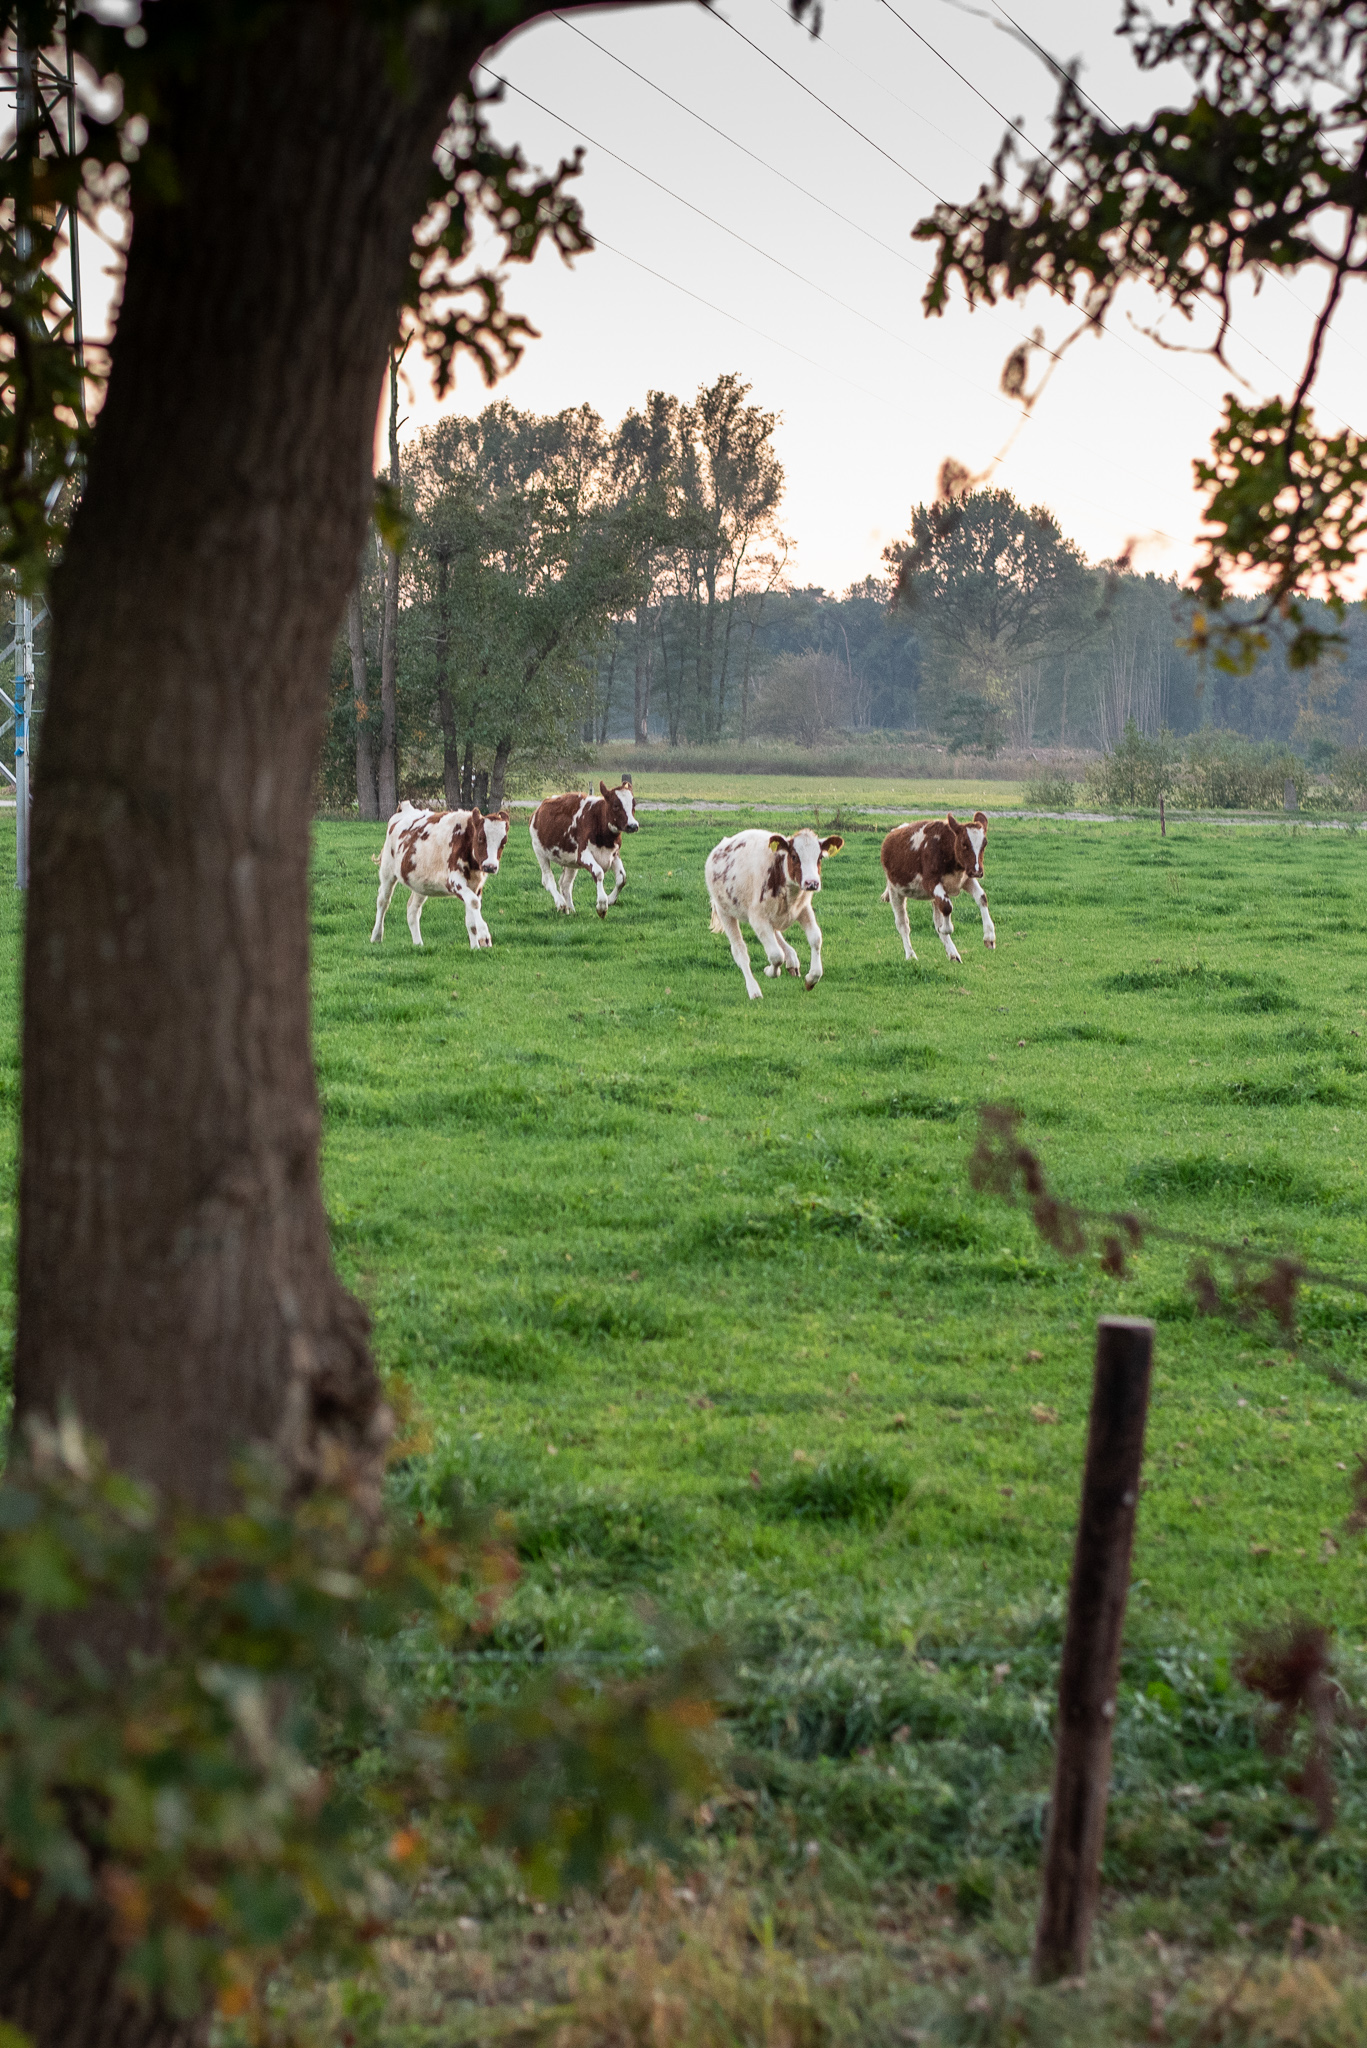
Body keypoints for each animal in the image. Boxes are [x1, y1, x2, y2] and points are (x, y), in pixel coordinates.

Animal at [370, 802, 510, 954]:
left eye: (503, 842)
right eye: (480, 838)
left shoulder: (475, 886)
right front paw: (484, 936)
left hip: (421, 883)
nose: (490, 866)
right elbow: (474, 903)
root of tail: (404, 809)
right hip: (387, 872)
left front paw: (475, 947)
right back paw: (376, 936)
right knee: (383, 901)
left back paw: (418, 943)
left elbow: (471, 919)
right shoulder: (454, 881)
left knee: (412, 909)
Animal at [532, 774, 643, 921]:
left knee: (565, 884)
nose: (633, 825)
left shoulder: (614, 854)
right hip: (540, 852)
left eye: (633, 804)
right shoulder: (583, 854)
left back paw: (570, 910)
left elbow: (622, 878)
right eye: (616, 805)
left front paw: (610, 899)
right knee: (548, 879)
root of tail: (539, 808)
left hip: (570, 861)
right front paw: (602, 906)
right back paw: (561, 903)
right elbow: (599, 873)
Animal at [705, 823, 844, 999]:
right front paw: (770, 971)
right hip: (725, 911)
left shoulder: (803, 908)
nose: (812, 883)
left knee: (776, 933)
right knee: (740, 951)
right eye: (794, 856)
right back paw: (754, 990)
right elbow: (776, 955)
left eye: (820, 857)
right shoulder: (757, 918)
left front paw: (812, 978)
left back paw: (792, 960)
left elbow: (815, 938)